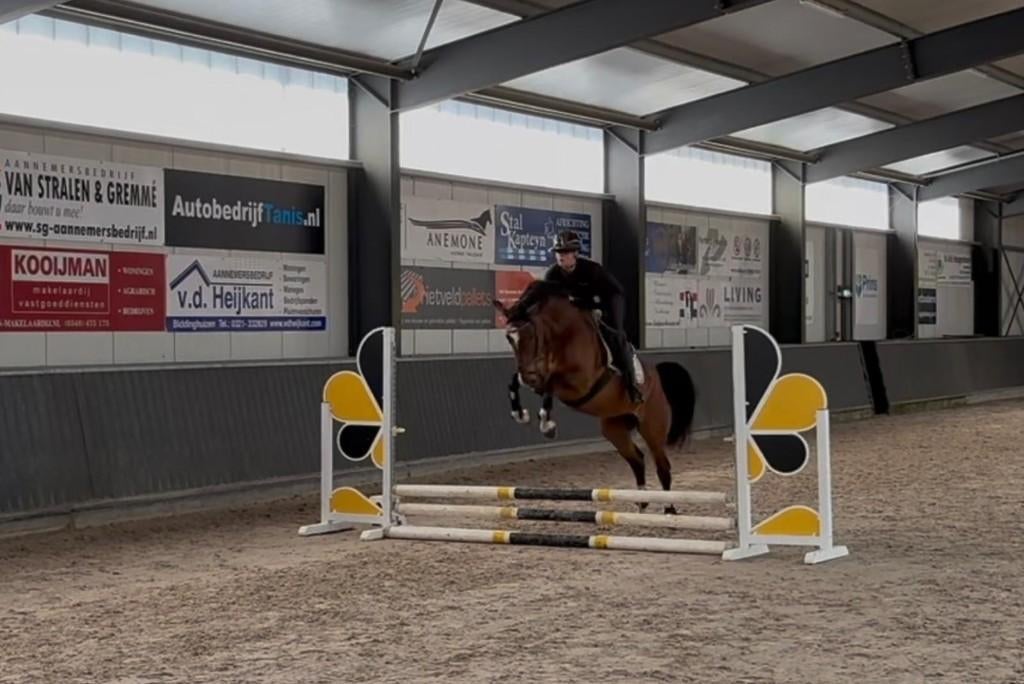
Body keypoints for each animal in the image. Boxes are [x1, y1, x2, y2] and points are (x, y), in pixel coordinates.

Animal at [492, 280, 697, 514]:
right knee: (637, 459)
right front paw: (520, 414)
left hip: (652, 428)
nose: (529, 378)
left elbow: (551, 384)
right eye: (509, 338)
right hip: (614, 428)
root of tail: (658, 378)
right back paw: (641, 501)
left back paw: (670, 510)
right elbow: (515, 382)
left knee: (663, 466)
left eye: (531, 335)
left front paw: (547, 425)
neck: (564, 334)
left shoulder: (579, 381)